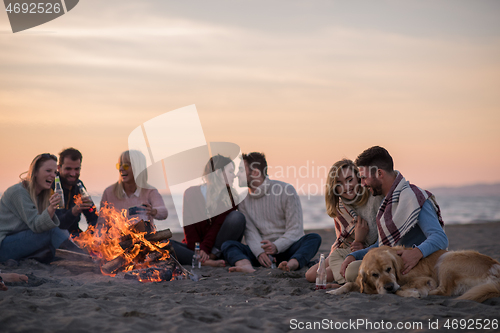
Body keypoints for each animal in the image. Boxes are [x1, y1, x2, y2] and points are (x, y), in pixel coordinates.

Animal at [326, 244, 500, 300]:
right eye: (374, 274)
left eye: (389, 269)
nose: (388, 286)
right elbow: (349, 284)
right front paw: (334, 291)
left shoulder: (422, 278)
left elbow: (400, 289)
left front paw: (413, 292)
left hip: (447, 258)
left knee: (445, 290)